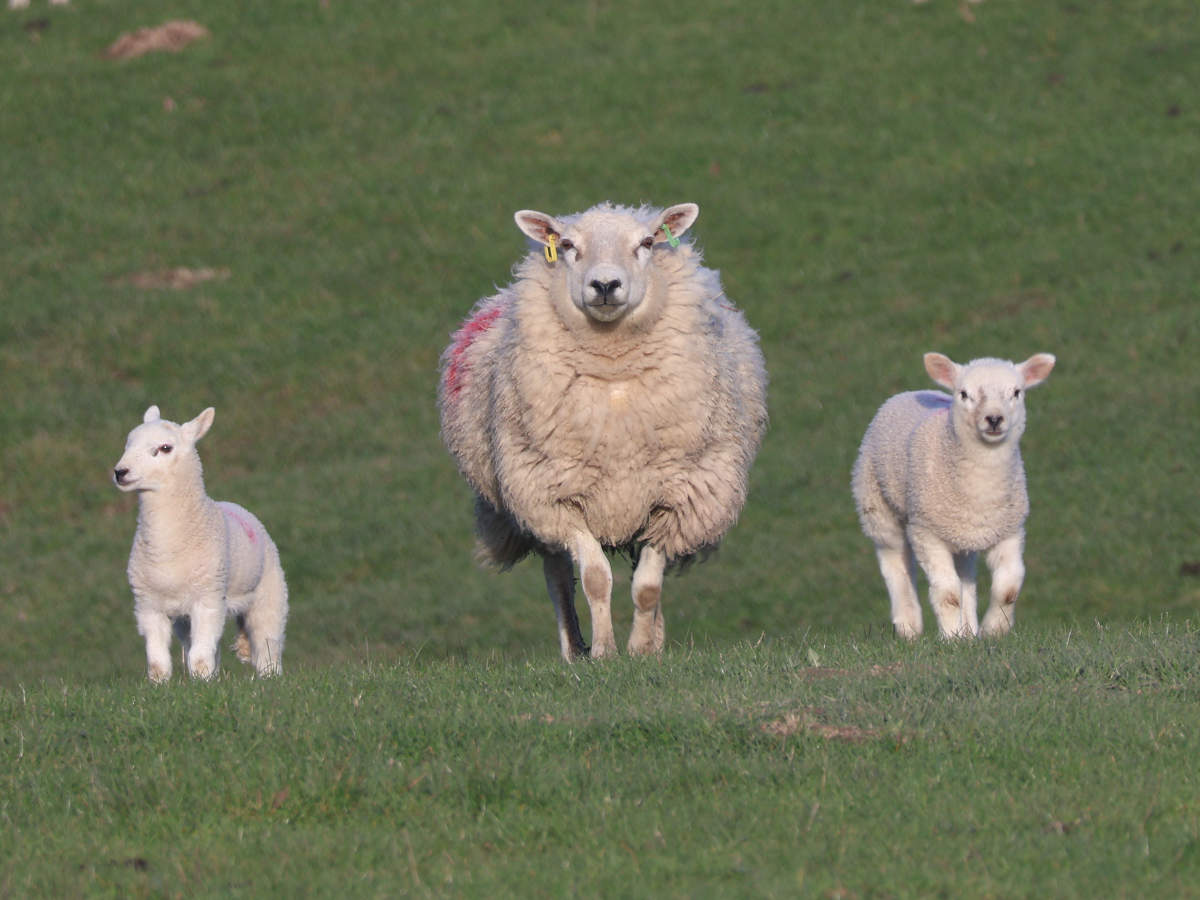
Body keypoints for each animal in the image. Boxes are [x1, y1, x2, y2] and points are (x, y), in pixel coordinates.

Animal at [113, 405, 288, 681]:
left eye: (165, 448)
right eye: (128, 444)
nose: (120, 472)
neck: (166, 549)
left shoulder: (208, 598)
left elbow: (200, 656)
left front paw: (203, 681)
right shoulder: (148, 604)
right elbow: (158, 660)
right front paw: (163, 684)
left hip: (269, 591)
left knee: (268, 638)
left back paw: (269, 675)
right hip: (185, 616)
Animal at [439, 202, 768, 661]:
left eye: (647, 242)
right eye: (567, 245)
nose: (606, 284)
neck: (613, 371)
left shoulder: (677, 498)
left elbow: (647, 586)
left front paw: (641, 649)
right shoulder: (556, 498)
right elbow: (594, 578)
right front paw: (605, 651)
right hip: (530, 508)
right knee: (558, 577)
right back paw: (573, 648)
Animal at [852, 352, 1056, 639]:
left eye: (1017, 392)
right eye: (964, 394)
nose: (994, 419)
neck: (981, 487)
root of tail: (910, 392)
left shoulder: (1009, 530)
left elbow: (1008, 587)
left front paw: (993, 630)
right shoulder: (927, 533)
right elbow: (947, 593)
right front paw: (950, 636)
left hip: (962, 537)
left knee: (966, 577)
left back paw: (968, 631)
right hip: (877, 506)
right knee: (895, 563)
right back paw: (908, 626)